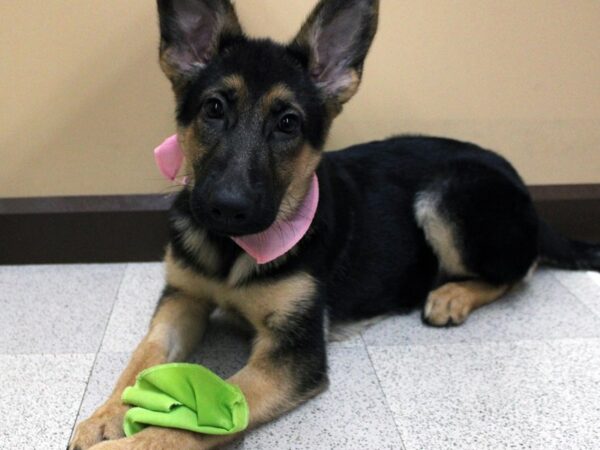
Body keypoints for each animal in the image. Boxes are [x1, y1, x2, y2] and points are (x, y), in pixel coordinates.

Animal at [70, 0, 600, 448]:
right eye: (213, 109)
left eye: (288, 123)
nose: (226, 208)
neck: (233, 250)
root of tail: (521, 183)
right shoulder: (182, 298)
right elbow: (143, 355)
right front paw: (105, 415)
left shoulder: (293, 354)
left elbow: (205, 415)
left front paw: (134, 442)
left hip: (445, 195)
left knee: (520, 270)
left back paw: (452, 295)